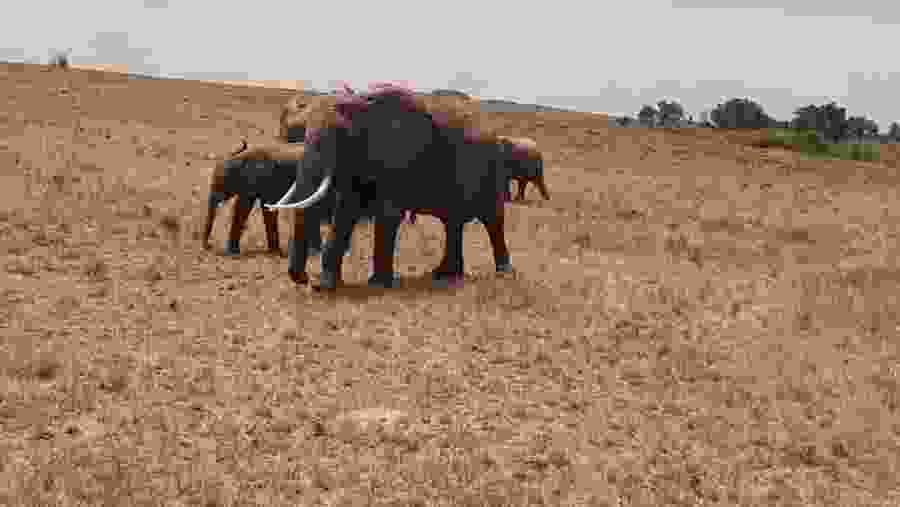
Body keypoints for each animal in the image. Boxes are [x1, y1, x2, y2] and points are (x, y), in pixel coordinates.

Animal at [267, 83, 516, 290]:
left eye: (339, 135)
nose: (304, 279)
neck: (361, 104)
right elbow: (345, 213)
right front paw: (326, 286)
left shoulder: (398, 156)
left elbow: (387, 214)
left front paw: (377, 284)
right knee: (452, 222)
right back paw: (444, 275)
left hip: (490, 166)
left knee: (492, 219)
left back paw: (503, 273)